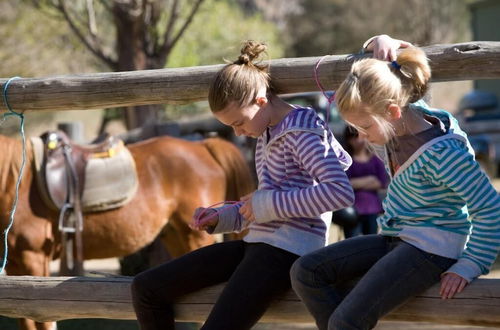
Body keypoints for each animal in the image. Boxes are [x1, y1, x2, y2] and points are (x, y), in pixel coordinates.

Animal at [0, 133, 256, 328]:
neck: (15, 182)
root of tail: (203, 146)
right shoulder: (15, 265)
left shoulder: (34, 260)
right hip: (176, 237)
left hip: (195, 237)